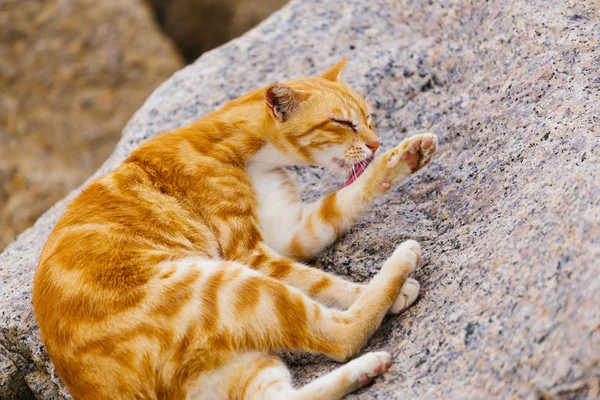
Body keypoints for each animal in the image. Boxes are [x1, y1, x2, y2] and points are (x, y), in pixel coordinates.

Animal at [31, 57, 436, 398]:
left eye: (368, 117)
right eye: (342, 123)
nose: (376, 143)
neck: (249, 154)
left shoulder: (291, 231)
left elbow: (345, 198)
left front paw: (403, 159)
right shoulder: (250, 254)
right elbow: (322, 281)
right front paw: (390, 290)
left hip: (238, 364)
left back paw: (365, 369)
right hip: (230, 283)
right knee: (340, 335)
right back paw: (400, 265)